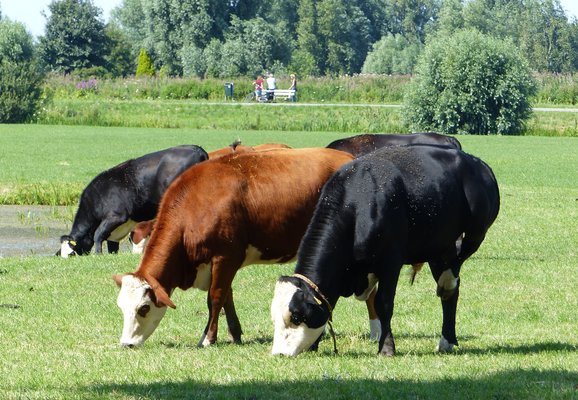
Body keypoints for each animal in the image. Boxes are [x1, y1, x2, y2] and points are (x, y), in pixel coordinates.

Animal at [56, 145, 208, 258]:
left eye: (71, 253)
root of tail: (197, 149)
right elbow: (112, 246)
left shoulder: (116, 216)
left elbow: (98, 234)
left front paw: (98, 254)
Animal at [111, 148, 354, 348]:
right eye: (121, 307)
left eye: (143, 308)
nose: (126, 344)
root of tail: (347, 157)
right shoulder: (220, 265)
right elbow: (227, 296)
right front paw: (235, 333)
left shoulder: (225, 257)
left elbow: (215, 298)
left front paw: (208, 338)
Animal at [272, 145, 500, 358]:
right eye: (274, 317)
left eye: (296, 316)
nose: (278, 354)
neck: (358, 202)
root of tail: (477, 164)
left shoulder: (390, 263)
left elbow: (383, 303)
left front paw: (387, 347)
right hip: (437, 243)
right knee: (450, 291)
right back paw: (447, 340)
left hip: (473, 234)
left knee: (453, 273)